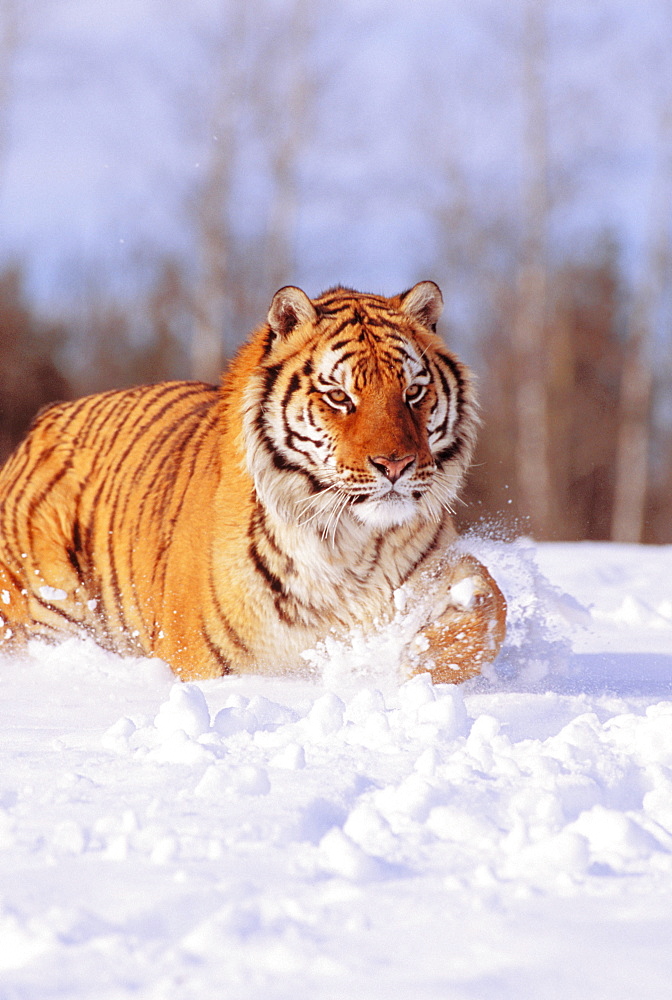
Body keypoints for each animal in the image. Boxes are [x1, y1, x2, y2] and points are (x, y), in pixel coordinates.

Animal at [0, 286, 504, 684]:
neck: (354, 545)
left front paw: (420, 667)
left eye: (413, 392)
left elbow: (488, 600)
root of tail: (41, 422)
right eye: (339, 396)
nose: (395, 464)